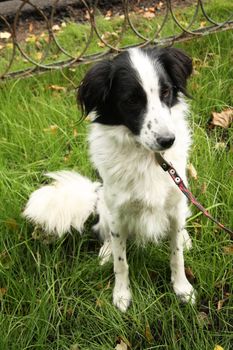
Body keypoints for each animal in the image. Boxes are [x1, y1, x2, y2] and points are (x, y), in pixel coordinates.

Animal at [23, 46, 196, 312]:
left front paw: (182, 288)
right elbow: (121, 262)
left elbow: (176, 254)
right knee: (105, 234)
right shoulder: (117, 215)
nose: (168, 141)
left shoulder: (176, 201)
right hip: (105, 207)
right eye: (132, 100)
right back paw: (105, 251)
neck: (147, 158)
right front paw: (122, 295)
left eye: (166, 92)